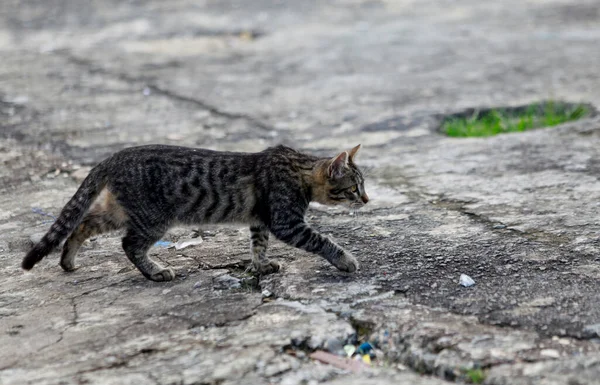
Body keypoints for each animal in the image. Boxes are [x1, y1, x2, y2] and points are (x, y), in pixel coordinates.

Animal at [21, 143, 368, 280]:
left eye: (363, 186)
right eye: (354, 188)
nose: (366, 200)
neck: (299, 170)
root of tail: (114, 157)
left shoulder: (260, 221)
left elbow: (258, 245)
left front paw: (260, 265)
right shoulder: (287, 222)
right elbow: (321, 240)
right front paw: (345, 260)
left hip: (119, 210)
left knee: (83, 225)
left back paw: (68, 261)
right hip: (153, 218)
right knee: (128, 244)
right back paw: (155, 272)